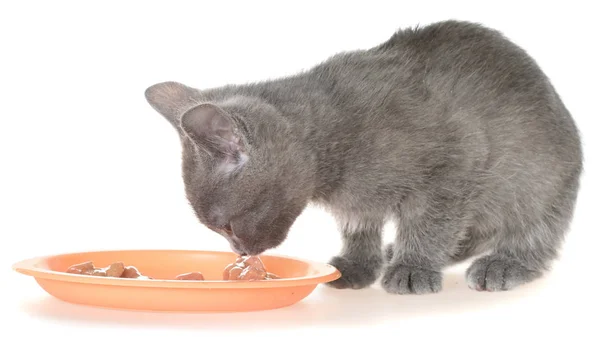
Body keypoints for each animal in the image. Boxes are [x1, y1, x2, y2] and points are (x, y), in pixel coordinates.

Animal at [144, 19, 580, 292]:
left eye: (228, 227)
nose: (239, 252)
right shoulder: (355, 204)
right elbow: (361, 228)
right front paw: (359, 265)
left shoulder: (456, 164)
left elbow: (431, 223)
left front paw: (413, 267)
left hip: (538, 182)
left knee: (533, 233)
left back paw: (504, 264)